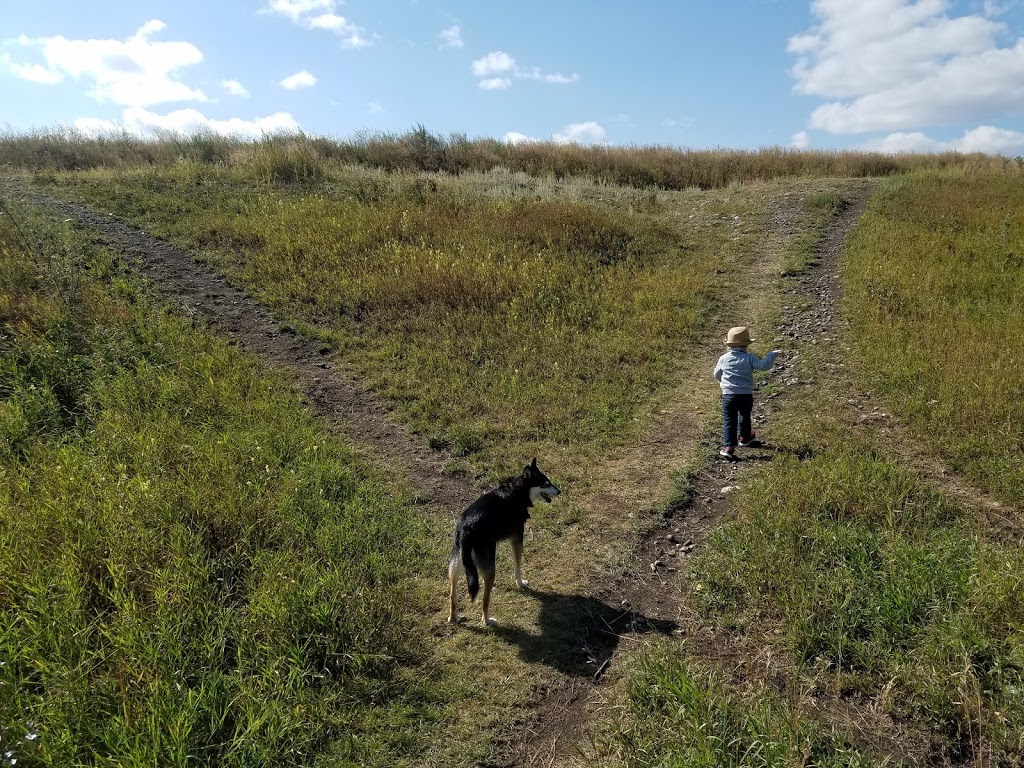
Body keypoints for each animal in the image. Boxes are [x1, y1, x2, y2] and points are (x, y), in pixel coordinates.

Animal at [448, 456, 561, 626]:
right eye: (545, 484)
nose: (560, 491)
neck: (516, 493)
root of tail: (467, 527)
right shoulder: (517, 541)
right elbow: (517, 567)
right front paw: (521, 584)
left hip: (457, 564)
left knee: (452, 595)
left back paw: (453, 618)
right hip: (489, 570)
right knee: (485, 600)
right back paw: (487, 620)